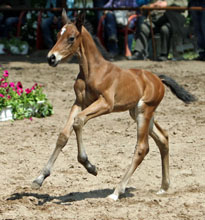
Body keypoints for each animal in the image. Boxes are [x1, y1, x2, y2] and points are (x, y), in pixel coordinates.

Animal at [32, 10, 195, 200]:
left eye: (71, 38)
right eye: (58, 35)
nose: (51, 58)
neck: (93, 71)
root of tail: (157, 79)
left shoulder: (106, 104)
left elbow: (78, 121)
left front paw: (90, 166)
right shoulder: (79, 102)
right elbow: (63, 135)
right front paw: (40, 177)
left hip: (144, 111)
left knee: (142, 148)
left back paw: (116, 192)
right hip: (137, 112)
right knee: (163, 138)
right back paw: (164, 187)